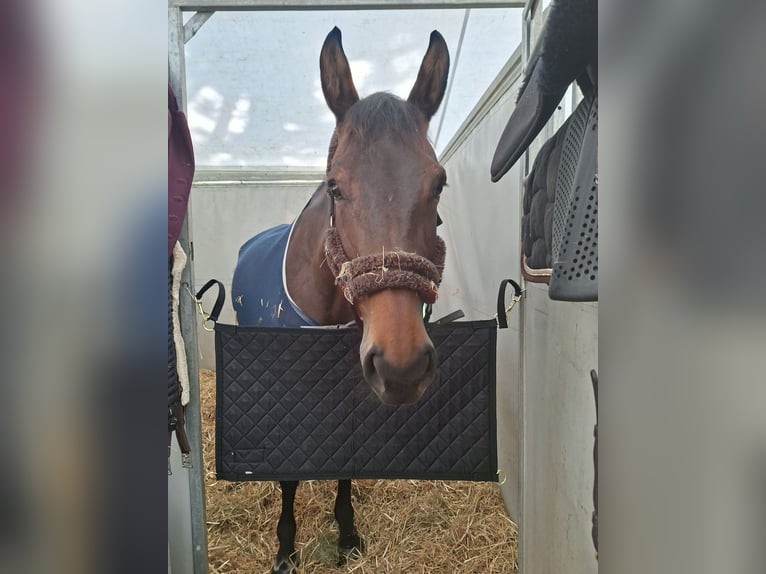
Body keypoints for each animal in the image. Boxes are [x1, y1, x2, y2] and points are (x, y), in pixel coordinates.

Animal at [231, 27, 450, 573]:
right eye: (335, 187)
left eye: (439, 183)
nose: (402, 365)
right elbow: (289, 473)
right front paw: (285, 549)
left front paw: (347, 534)